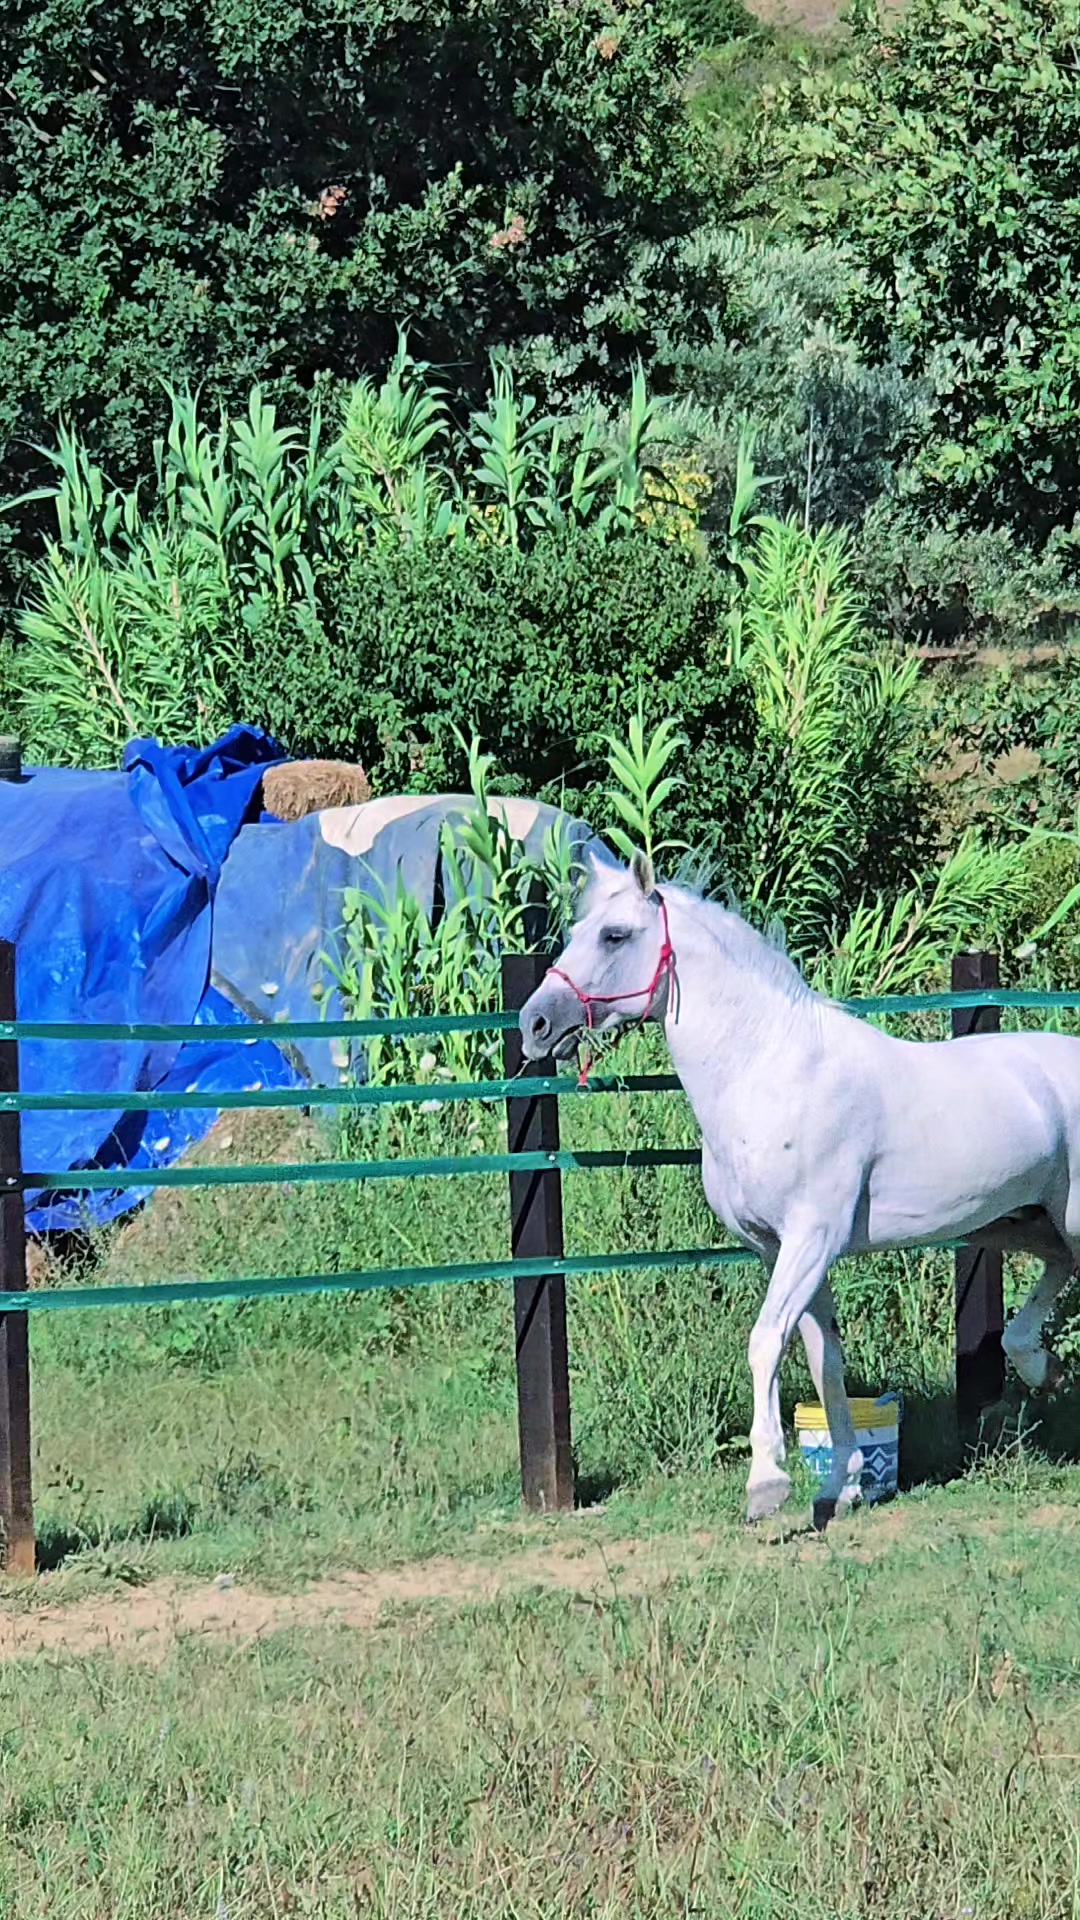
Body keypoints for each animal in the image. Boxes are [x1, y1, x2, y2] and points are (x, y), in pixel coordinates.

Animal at [519, 849, 1080, 1528]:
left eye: (615, 935)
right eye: (576, 932)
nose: (535, 1022)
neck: (771, 1072)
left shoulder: (811, 1238)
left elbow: (766, 1341)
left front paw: (767, 1483)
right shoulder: (779, 1248)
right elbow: (822, 1358)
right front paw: (842, 1486)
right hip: (1021, 1224)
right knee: (1054, 1277)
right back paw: (1042, 1367)